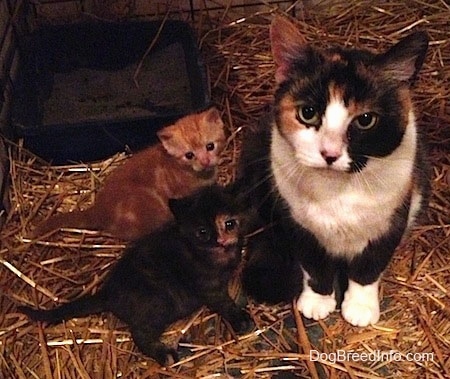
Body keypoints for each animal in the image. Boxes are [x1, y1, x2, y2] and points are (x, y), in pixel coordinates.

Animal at [18, 186, 250, 366]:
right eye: (202, 232)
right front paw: (240, 319)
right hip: (158, 304)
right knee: (140, 333)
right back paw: (164, 355)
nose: (219, 240)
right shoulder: (208, 287)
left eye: (229, 224)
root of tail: (107, 292)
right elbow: (224, 303)